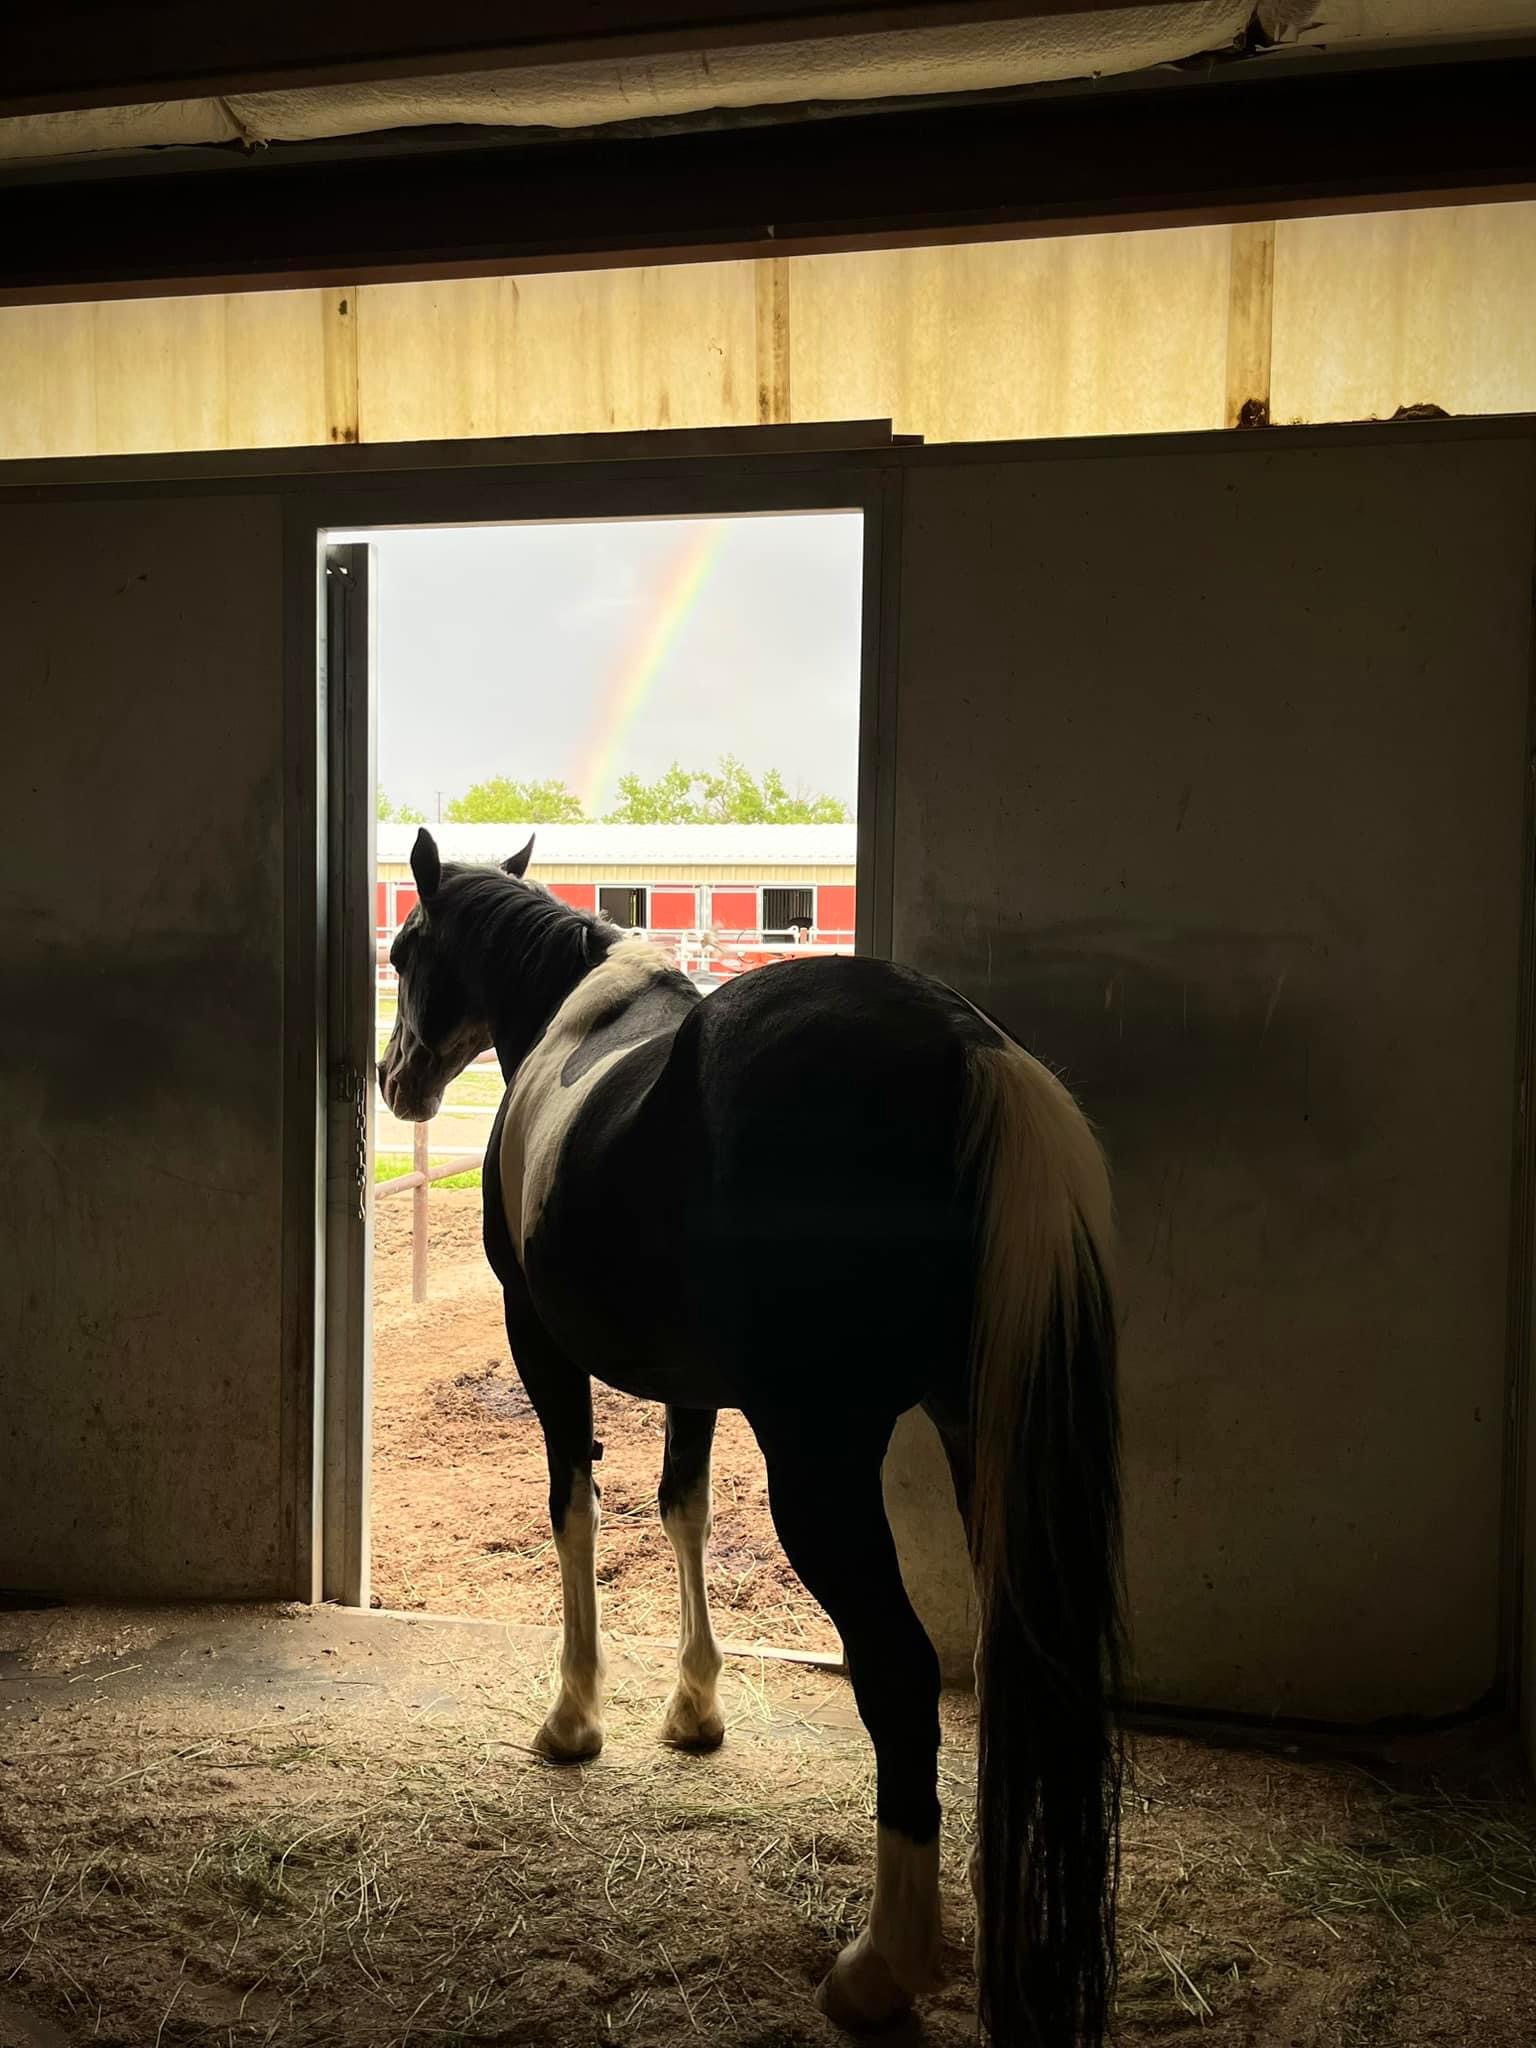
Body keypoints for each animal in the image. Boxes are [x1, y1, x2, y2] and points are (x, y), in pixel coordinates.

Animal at [382, 831, 1130, 2048]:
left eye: (405, 948)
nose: (393, 1078)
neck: (573, 1020)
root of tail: (965, 1049)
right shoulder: (691, 1385)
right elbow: (681, 1506)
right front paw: (693, 1709)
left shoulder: (537, 1340)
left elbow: (576, 1507)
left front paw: (574, 1718)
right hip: (981, 1434)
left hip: (820, 1465)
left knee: (901, 1672)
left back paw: (878, 1968)